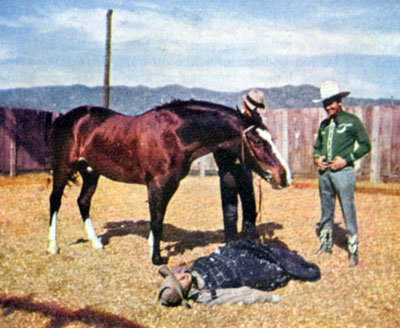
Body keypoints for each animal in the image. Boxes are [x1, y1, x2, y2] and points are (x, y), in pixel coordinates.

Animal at [48, 100, 290, 264]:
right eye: (257, 141)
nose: (284, 175)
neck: (174, 135)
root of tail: (64, 118)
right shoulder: (157, 184)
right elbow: (156, 220)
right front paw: (156, 258)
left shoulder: (171, 184)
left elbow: (159, 216)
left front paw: (152, 246)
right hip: (63, 169)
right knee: (55, 202)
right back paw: (53, 246)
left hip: (91, 173)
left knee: (83, 202)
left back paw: (97, 243)